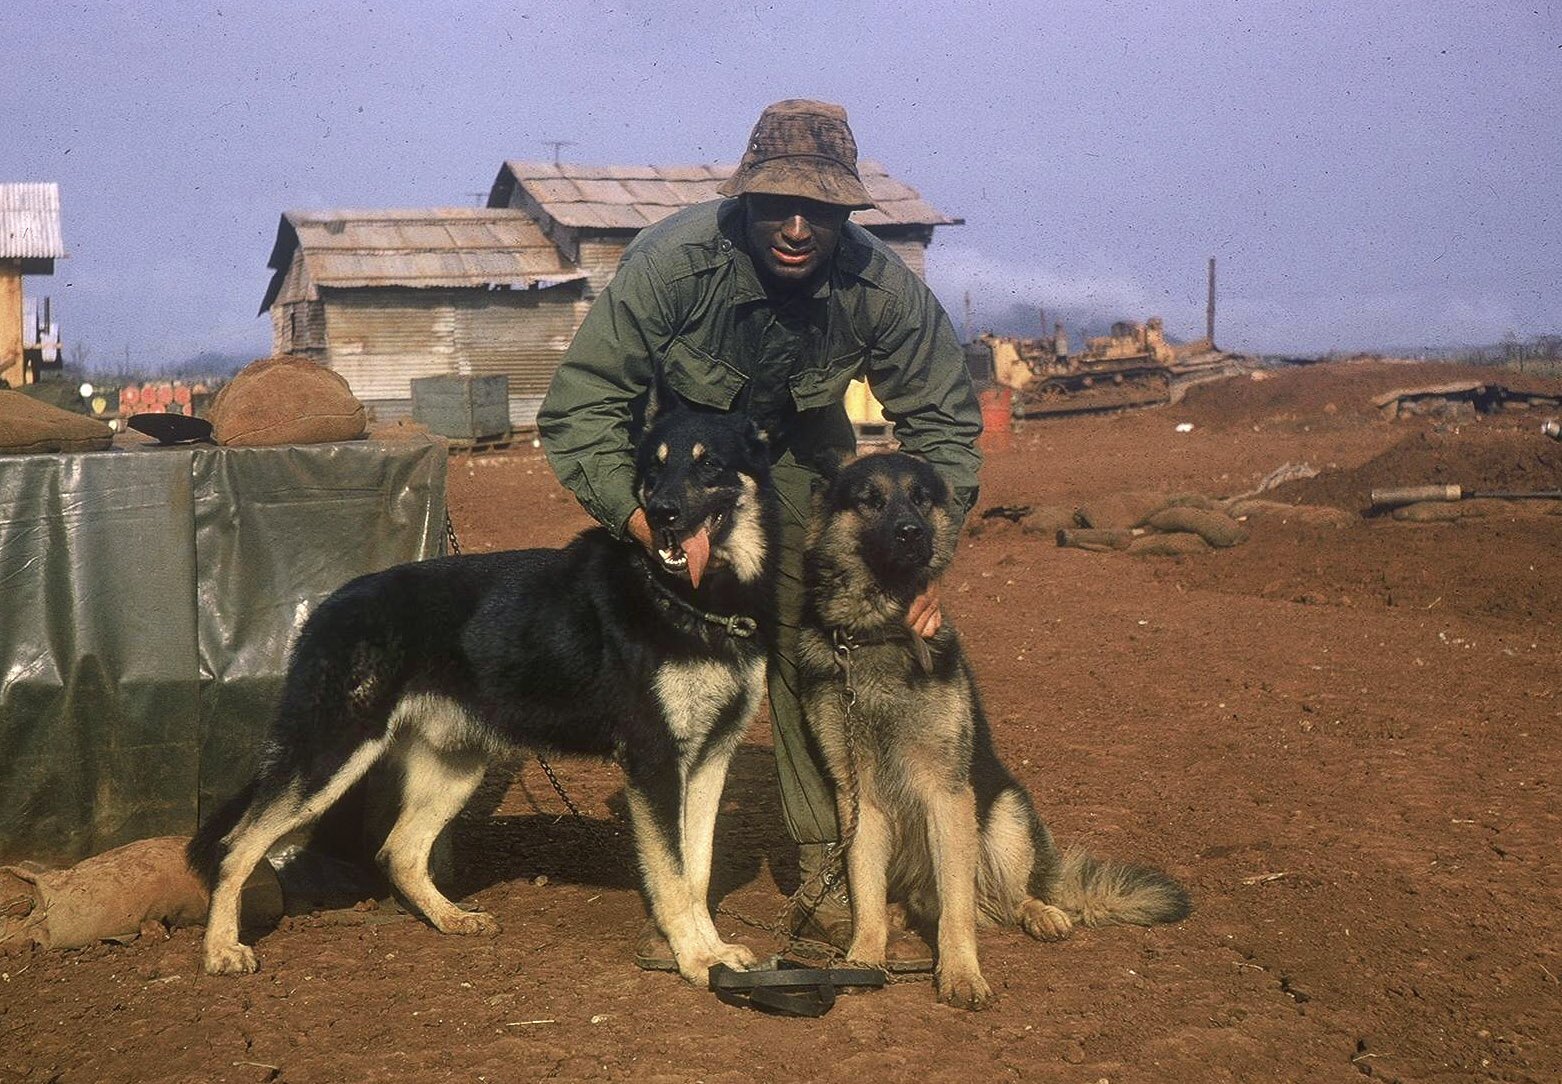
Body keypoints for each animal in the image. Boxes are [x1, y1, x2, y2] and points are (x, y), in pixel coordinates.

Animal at [189, 406, 774, 987]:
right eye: (654, 469)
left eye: (709, 464)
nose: (661, 516)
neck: (688, 598)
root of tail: (326, 608)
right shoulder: (656, 765)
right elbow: (674, 877)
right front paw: (697, 962)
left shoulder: (708, 760)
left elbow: (697, 873)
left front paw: (714, 952)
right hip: (330, 758)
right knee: (235, 846)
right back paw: (222, 950)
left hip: (456, 767)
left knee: (398, 852)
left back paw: (452, 919)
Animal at [799, 452, 1187, 1012]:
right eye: (870, 500)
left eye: (920, 497)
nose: (912, 533)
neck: (878, 633)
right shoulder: (858, 799)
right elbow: (865, 892)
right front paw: (864, 957)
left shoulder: (948, 796)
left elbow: (957, 909)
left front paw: (961, 973)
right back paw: (898, 917)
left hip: (1004, 817)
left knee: (1006, 896)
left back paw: (1042, 913)